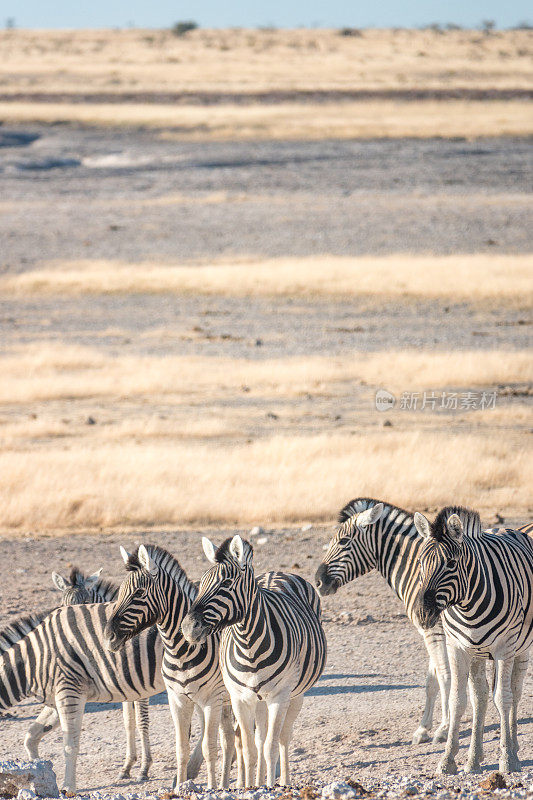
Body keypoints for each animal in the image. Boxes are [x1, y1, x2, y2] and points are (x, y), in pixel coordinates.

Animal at [105, 548, 234, 792]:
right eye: (120, 593)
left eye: (138, 593)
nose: (108, 636)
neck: (180, 651)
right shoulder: (178, 699)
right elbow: (182, 748)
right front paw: (181, 787)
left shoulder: (211, 699)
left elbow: (210, 748)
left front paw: (211, 789)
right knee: (232, 739)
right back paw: (231, 782)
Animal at [181, 536, 326, 788]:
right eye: (201, 584)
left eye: (226, 583)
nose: (189, 628)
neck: (249, 644)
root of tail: (276, 572)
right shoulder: (240, 698)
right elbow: (249, 749)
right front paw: (249, 787)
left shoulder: (279, 697)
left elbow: (270, 747)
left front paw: (268, 786)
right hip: (257, 699)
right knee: (259, 738)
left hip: (296, 694)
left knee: (283, 738)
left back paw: (284, 780)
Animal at [416, 506, 532, 776]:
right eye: (420, 563)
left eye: (450, 563)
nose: (423, 615)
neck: (468, 605)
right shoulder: (457, 648)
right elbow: (458, 701)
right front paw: (448, 759)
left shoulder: (504, 648)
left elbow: (503, 698)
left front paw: (506, 759)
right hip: (477, 652)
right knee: (479, 696)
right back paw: (474, 759)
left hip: (521, 648)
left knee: (515, 692)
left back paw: (513, 747)